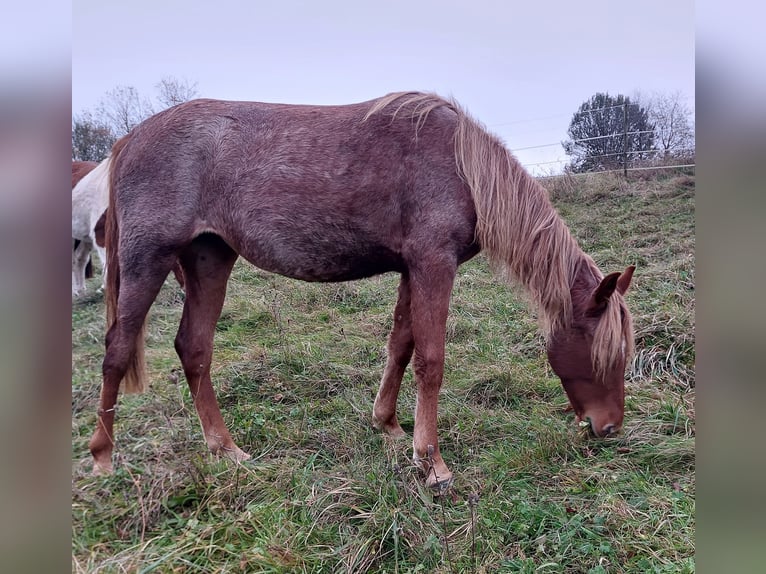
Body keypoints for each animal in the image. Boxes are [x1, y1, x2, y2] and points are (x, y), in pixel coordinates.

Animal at [88, 92, 636, 488]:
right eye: (607, 353)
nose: (609, 428)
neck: (462, 167)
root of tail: (129, 139)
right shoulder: (433, 264)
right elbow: (431, 360)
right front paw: (431, 462)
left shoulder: (412, 269)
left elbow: (401, 345)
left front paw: (389, 425)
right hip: (147, 260)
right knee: (118, 349)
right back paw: (103, 458)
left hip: (209, 260)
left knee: (194, 349)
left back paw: (226, 449)